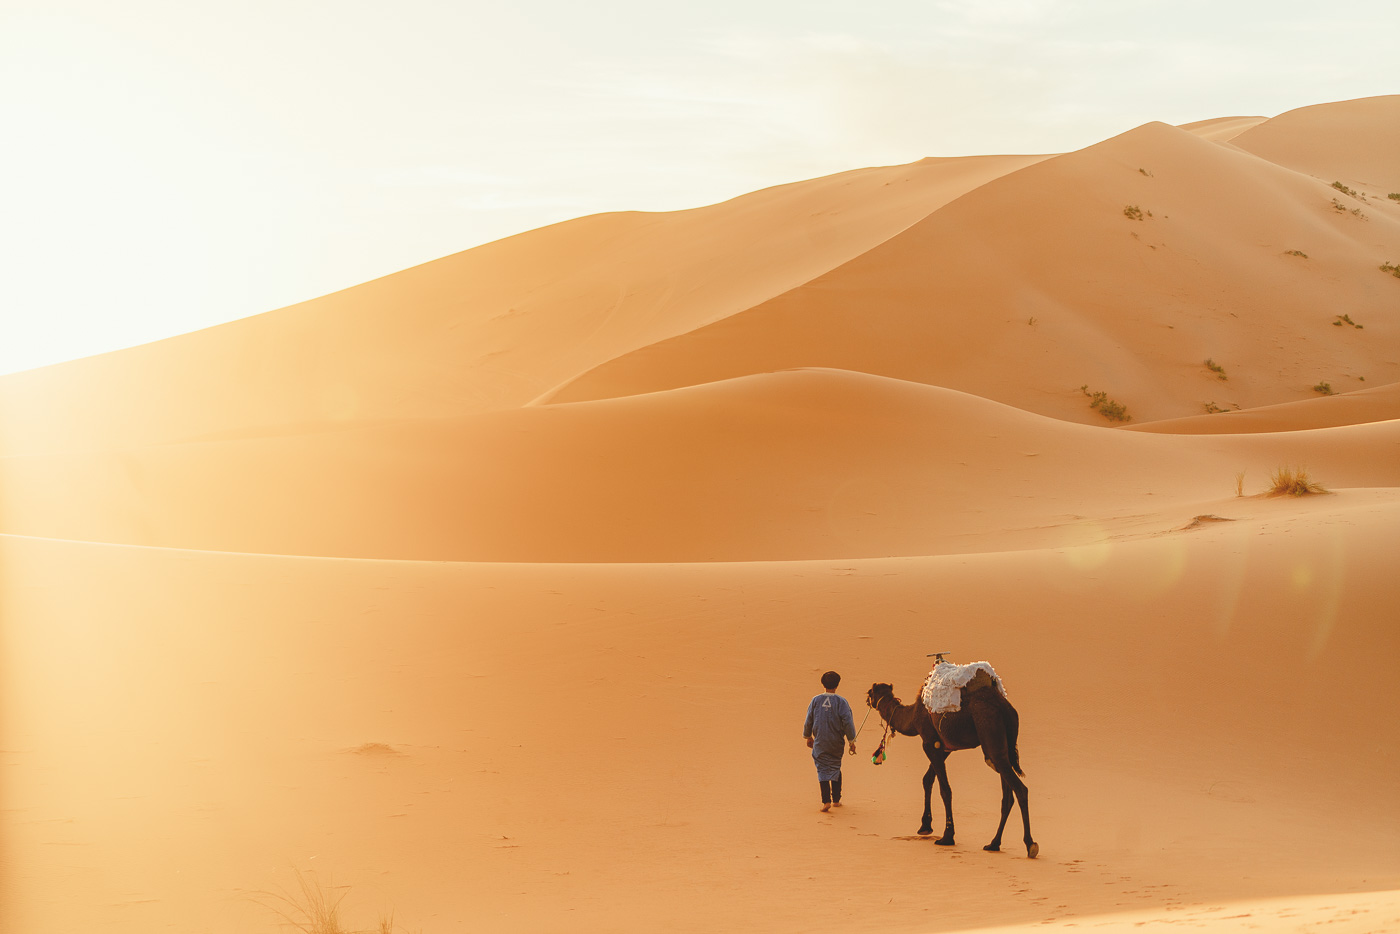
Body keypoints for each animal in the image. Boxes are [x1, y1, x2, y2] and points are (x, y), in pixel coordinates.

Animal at [868, 672, 1036, 862]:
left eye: (870, 692)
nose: (867, 699)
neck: (913, 715)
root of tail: (1006, 708)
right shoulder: (944, 746)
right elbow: (927, 779)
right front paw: (925, 826)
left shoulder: (928, 742)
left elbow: (945, 790)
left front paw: (947, 836)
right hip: (1001, 746)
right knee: (1007, 794)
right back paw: (993, 843)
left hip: (990, 731)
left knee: (1020, 789)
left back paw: (1030, 845)